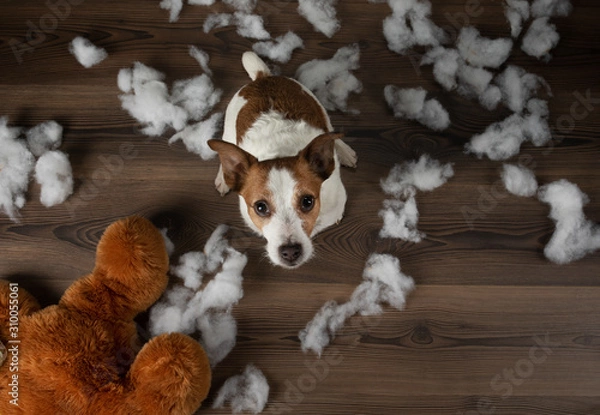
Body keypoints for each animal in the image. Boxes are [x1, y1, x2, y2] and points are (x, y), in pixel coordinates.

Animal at [209, 52, 356, 270]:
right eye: (260, 207)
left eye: (307, 202)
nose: (290, 252)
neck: (280, 152)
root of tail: (263, 78)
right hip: (228, 129)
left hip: (320, 110)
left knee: (332, 133)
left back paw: (343, 150)